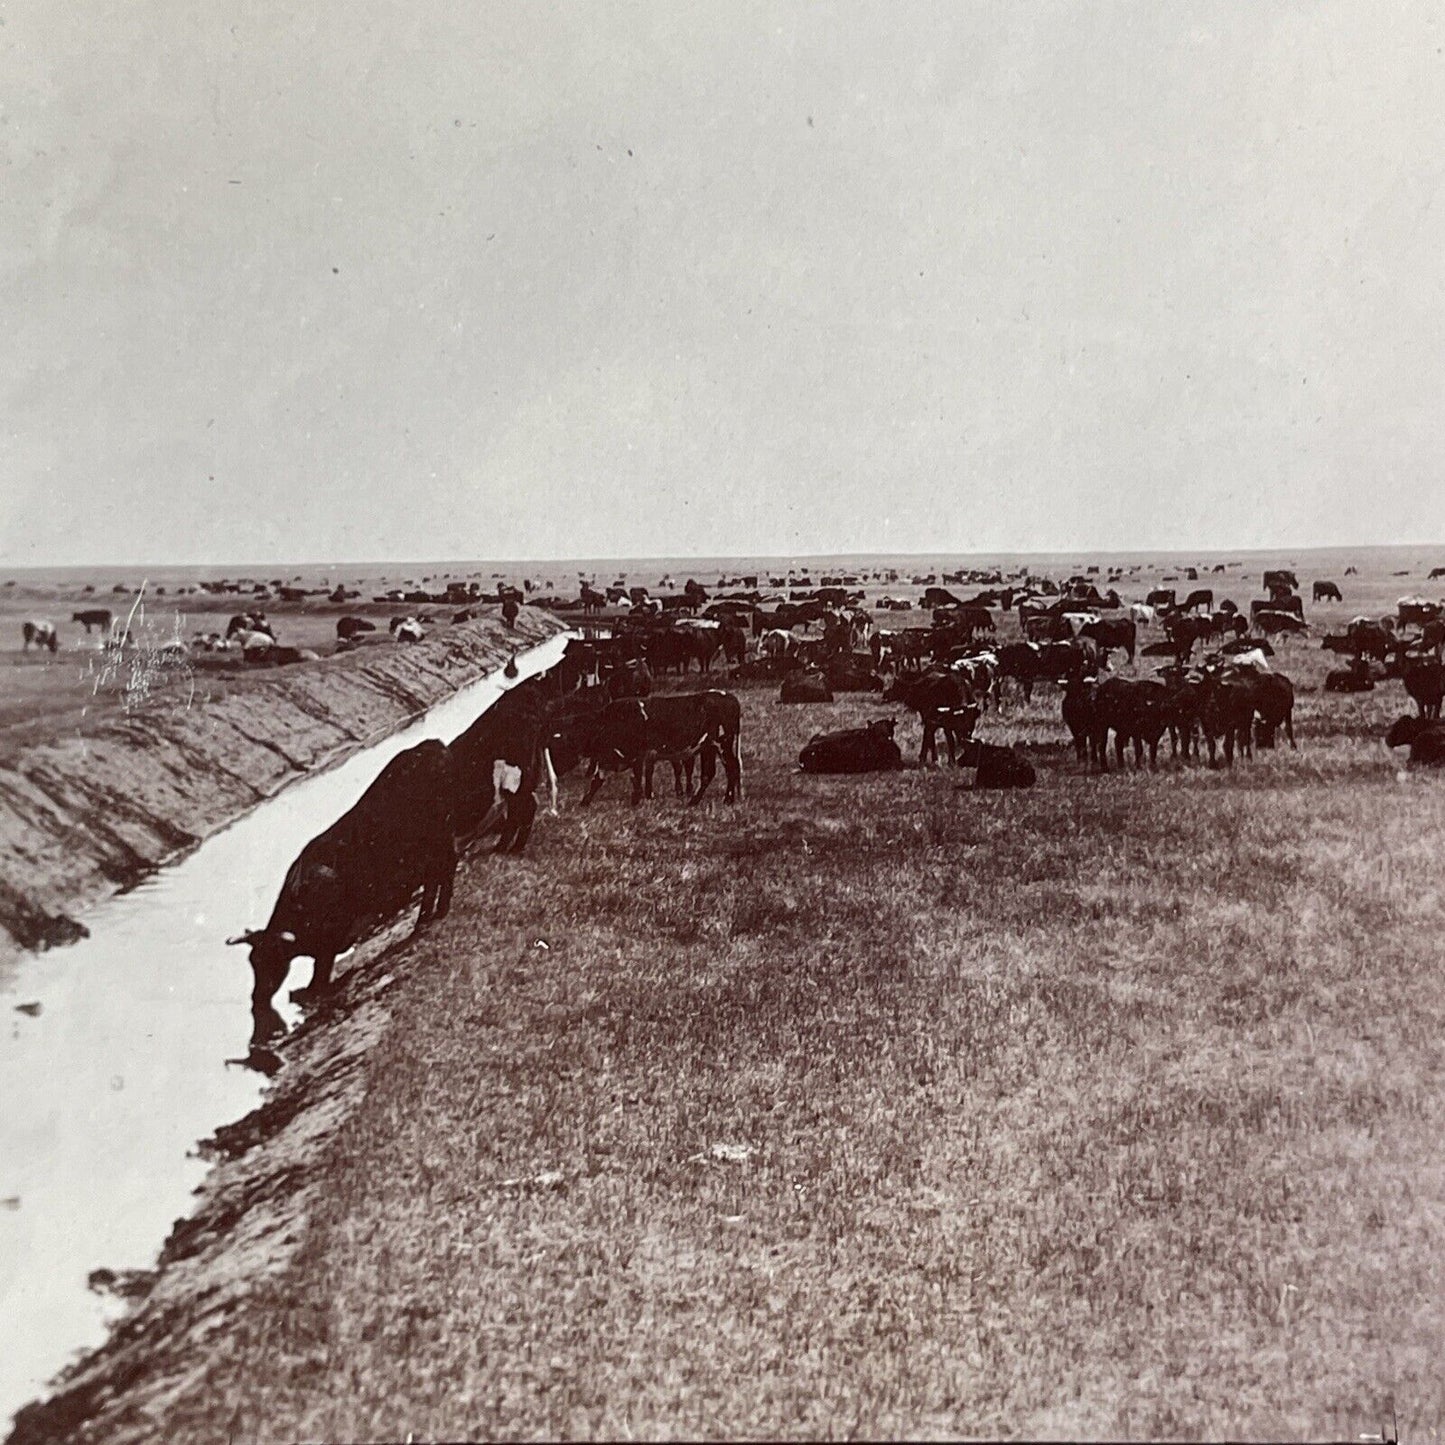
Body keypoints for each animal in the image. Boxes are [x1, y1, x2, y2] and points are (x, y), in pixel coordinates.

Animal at [226, 739, 456, 1034]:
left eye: (273, 958)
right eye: (252, 961)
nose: (257, 997)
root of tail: (430, 746)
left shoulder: (331, 938)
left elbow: (321, 972)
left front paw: (310, 993)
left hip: (440, 836)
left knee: (445, 869)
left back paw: (435, 914)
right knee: (434, 877)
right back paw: (425, 919)